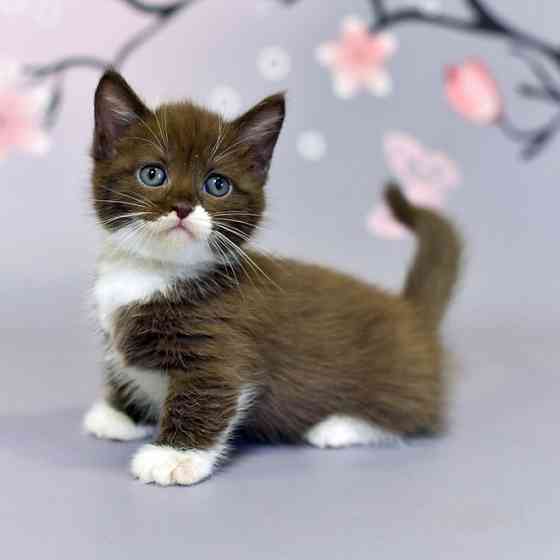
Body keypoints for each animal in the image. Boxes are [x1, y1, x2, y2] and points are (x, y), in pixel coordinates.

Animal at [82, 70, 460, 486]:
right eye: (152, 174)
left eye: (217, 185)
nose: (182, 207)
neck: (154, 272)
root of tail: (410, 310)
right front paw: (118, 414)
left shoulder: (222, 346)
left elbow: (205, 395)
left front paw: (173, 456)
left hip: (398, 376)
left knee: (413, 413)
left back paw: (339, 425)